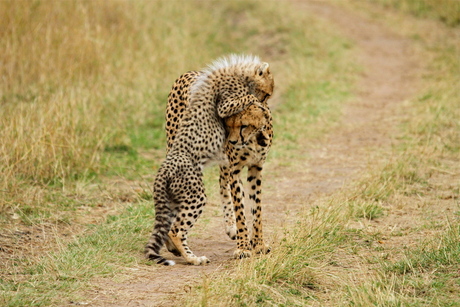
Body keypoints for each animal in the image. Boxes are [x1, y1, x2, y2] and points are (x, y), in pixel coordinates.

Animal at [146, 54, 274, 266]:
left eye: (243, 126)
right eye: (227, 125)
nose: (231, 141)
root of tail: (187, 72)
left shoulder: (256, 168)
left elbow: (256, 209)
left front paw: (258, 244)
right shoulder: (236, 168)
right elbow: (241, 210)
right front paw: (243, 247)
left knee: (221, 183)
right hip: (179, 148)